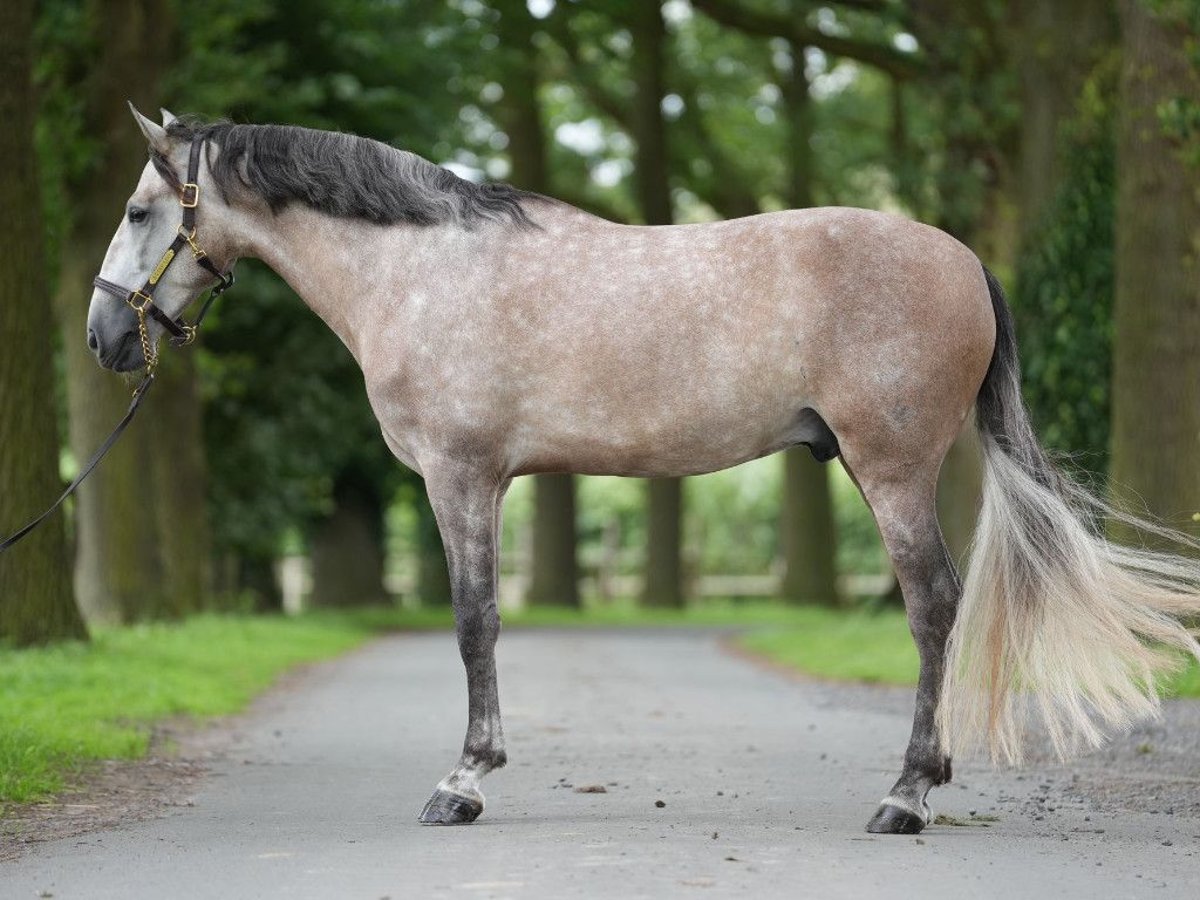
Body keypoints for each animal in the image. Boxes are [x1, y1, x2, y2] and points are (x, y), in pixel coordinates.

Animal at [88, 107, 1200, 840]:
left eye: (141, 211)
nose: (103, 338)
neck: (424, 269)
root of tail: (964, 259)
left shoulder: (460, 476)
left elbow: (473, 622)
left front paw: (464, 782)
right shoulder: (488, 483)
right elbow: (482, 622)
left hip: (890, 472)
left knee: (933, 606)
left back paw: (905, 796)